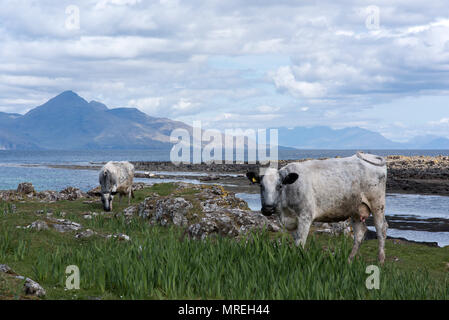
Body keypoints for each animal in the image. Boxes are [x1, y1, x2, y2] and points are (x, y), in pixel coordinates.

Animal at [247, 154, 386, 264]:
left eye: (280, 186)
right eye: (261, 185)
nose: (268, 209)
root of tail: (371, 156)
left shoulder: (305, 216)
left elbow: (300, 243)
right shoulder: (291, 222)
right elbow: (297, 241)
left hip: (377, 204)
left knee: (381, 230)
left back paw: (380, 261)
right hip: (356, 209)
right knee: (359, 233)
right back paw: (349, 261)